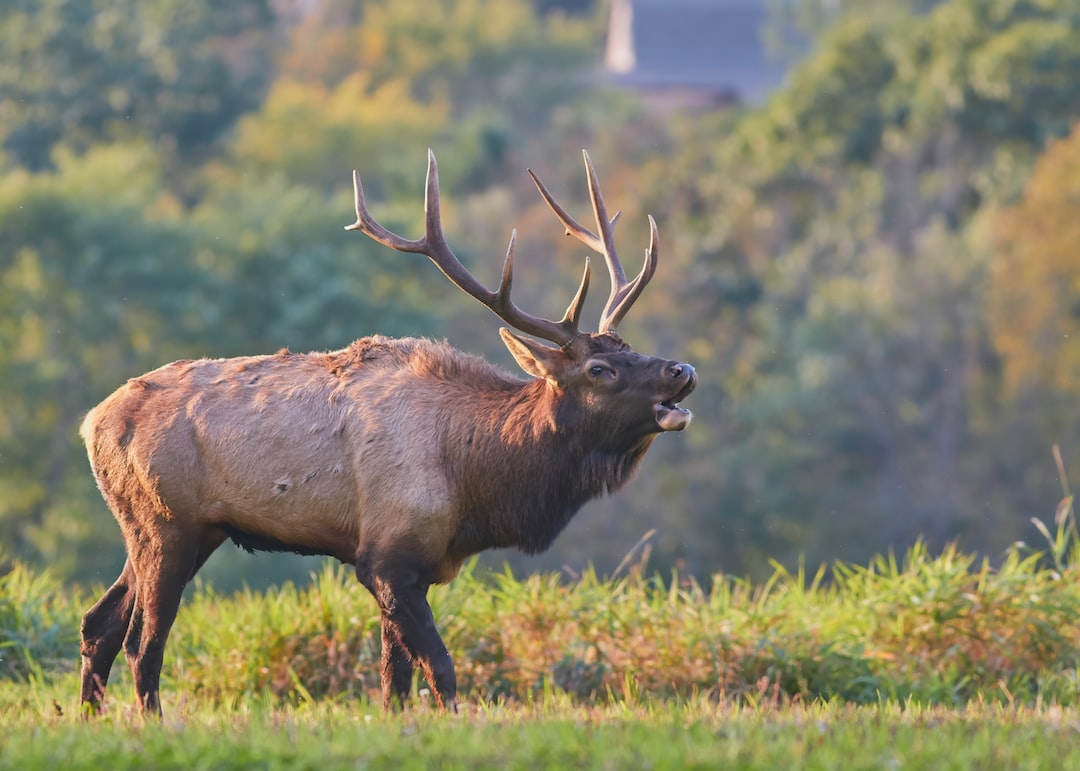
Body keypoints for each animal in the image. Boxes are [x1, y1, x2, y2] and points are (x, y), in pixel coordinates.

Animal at [79, 146, 695, 712]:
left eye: (631, 347)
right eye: (599, 369)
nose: (682, 370)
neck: (474, 483)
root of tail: (92, 424)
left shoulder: (410, 565)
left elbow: (392, 678)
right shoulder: (386, 556)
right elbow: (440, 669)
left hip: (182, 528)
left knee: (98, 624)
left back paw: (91, 716)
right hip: (166, 522)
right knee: (142, 642)